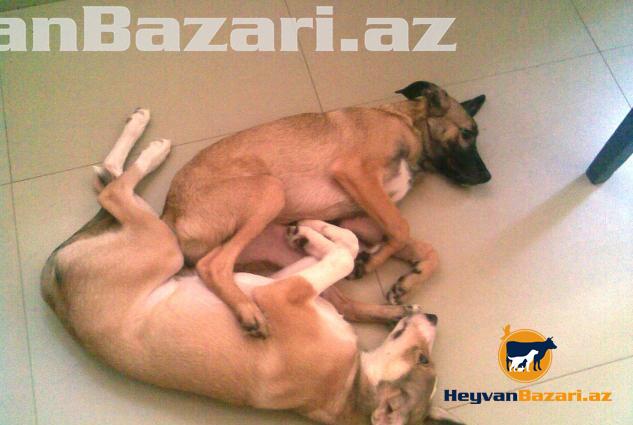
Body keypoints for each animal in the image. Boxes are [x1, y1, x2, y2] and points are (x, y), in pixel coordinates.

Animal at [40, 110, 464, 425]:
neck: (349, 384)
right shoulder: (283, 285)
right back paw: (150, 142)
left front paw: (315, 234)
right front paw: (317, 231)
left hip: (163, 241)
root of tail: (50, 290)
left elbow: (346, 251)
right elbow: (351, 245)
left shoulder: (278, 288)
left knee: (112, 189)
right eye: (424, 359)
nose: (434, 318)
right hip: (234, 210)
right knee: (114, 186)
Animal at [160, 81, 491, 336]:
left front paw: (408, 279)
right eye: (467, 133)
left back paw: (393, 313)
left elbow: (426, 248)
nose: (487, 177)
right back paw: (248, 311)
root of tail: (170, 210)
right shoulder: (357, 173)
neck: (406, 122)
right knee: (213, 265)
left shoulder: (363, 219)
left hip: (284, 247)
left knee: (344, 306)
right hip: (271, 192)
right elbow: (400, 227)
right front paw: (371, 262)